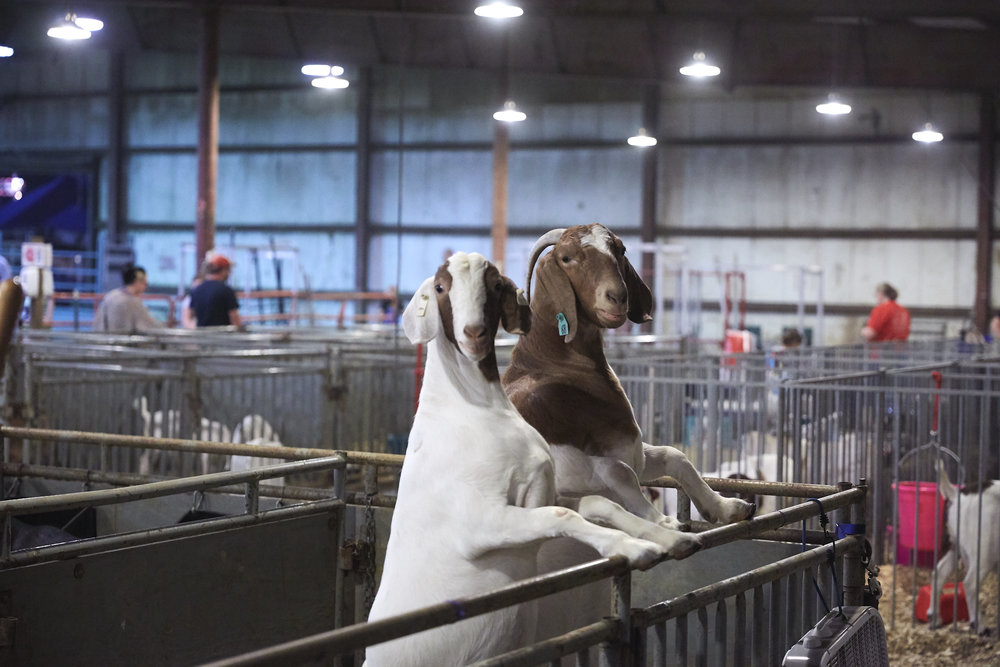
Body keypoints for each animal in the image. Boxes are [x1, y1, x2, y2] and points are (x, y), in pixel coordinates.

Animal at [364, 252, 700, 667]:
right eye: (440, 287)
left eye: (495, 285)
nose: (473, 333)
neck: (472, 410)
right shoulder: (482, 523)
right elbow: (563, 516)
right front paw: (637, 548)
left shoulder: (541, 493)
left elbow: (593, 504)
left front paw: (671, 537)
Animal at [928, 462, 1000, 636]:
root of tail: (958, 496)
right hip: (984, 552)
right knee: (970, 584)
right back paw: (980, 626)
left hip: (953, 546)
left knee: (938, 573)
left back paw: (935, 618)